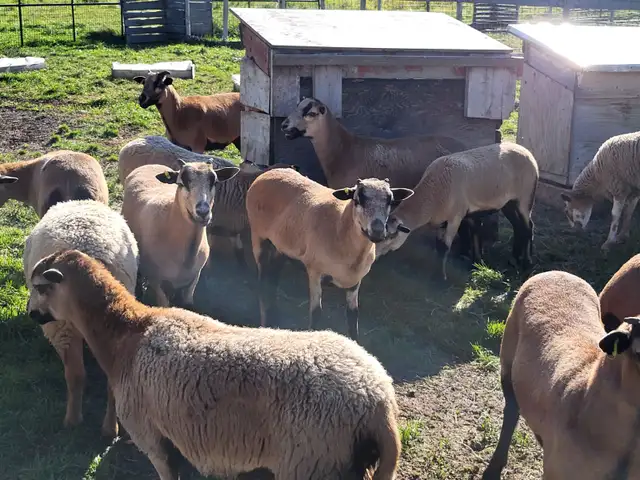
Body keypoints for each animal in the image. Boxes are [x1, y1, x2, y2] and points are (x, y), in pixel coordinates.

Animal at [27, 248, 402, 480]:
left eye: (42, 287)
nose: (32, 314)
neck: (127, 334)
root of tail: (379, 402)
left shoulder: (152, 437)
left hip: (311, 464)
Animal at [121, 159, 239, 307]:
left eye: (215, 182)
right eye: (181, 183)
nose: (203, 211)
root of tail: (150, 165)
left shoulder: (194, 277)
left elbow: (187, 302)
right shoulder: (156, 280)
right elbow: (164, 303)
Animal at [246, 167, 413, 341]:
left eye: (390, 201)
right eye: (357, 200)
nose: (378, 232)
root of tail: (270, 172)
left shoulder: (355, 282)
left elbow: (353, 318)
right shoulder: (315, 272)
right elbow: (316, 313)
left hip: (282, 247)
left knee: (273, 278)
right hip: (258, 236)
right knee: (263, 282)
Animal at [376, 142, 539, 281]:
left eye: (390, 236)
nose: (375, 256)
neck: (432, 196)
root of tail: (526, 151)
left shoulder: (455, 217)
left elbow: (444, 247)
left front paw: (440, 279)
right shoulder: (443, 220)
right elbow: (441, 244)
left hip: (525, 197)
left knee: (527, 227)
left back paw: (527, 263)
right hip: (508, 202)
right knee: (518, 226)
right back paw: (514, 259)